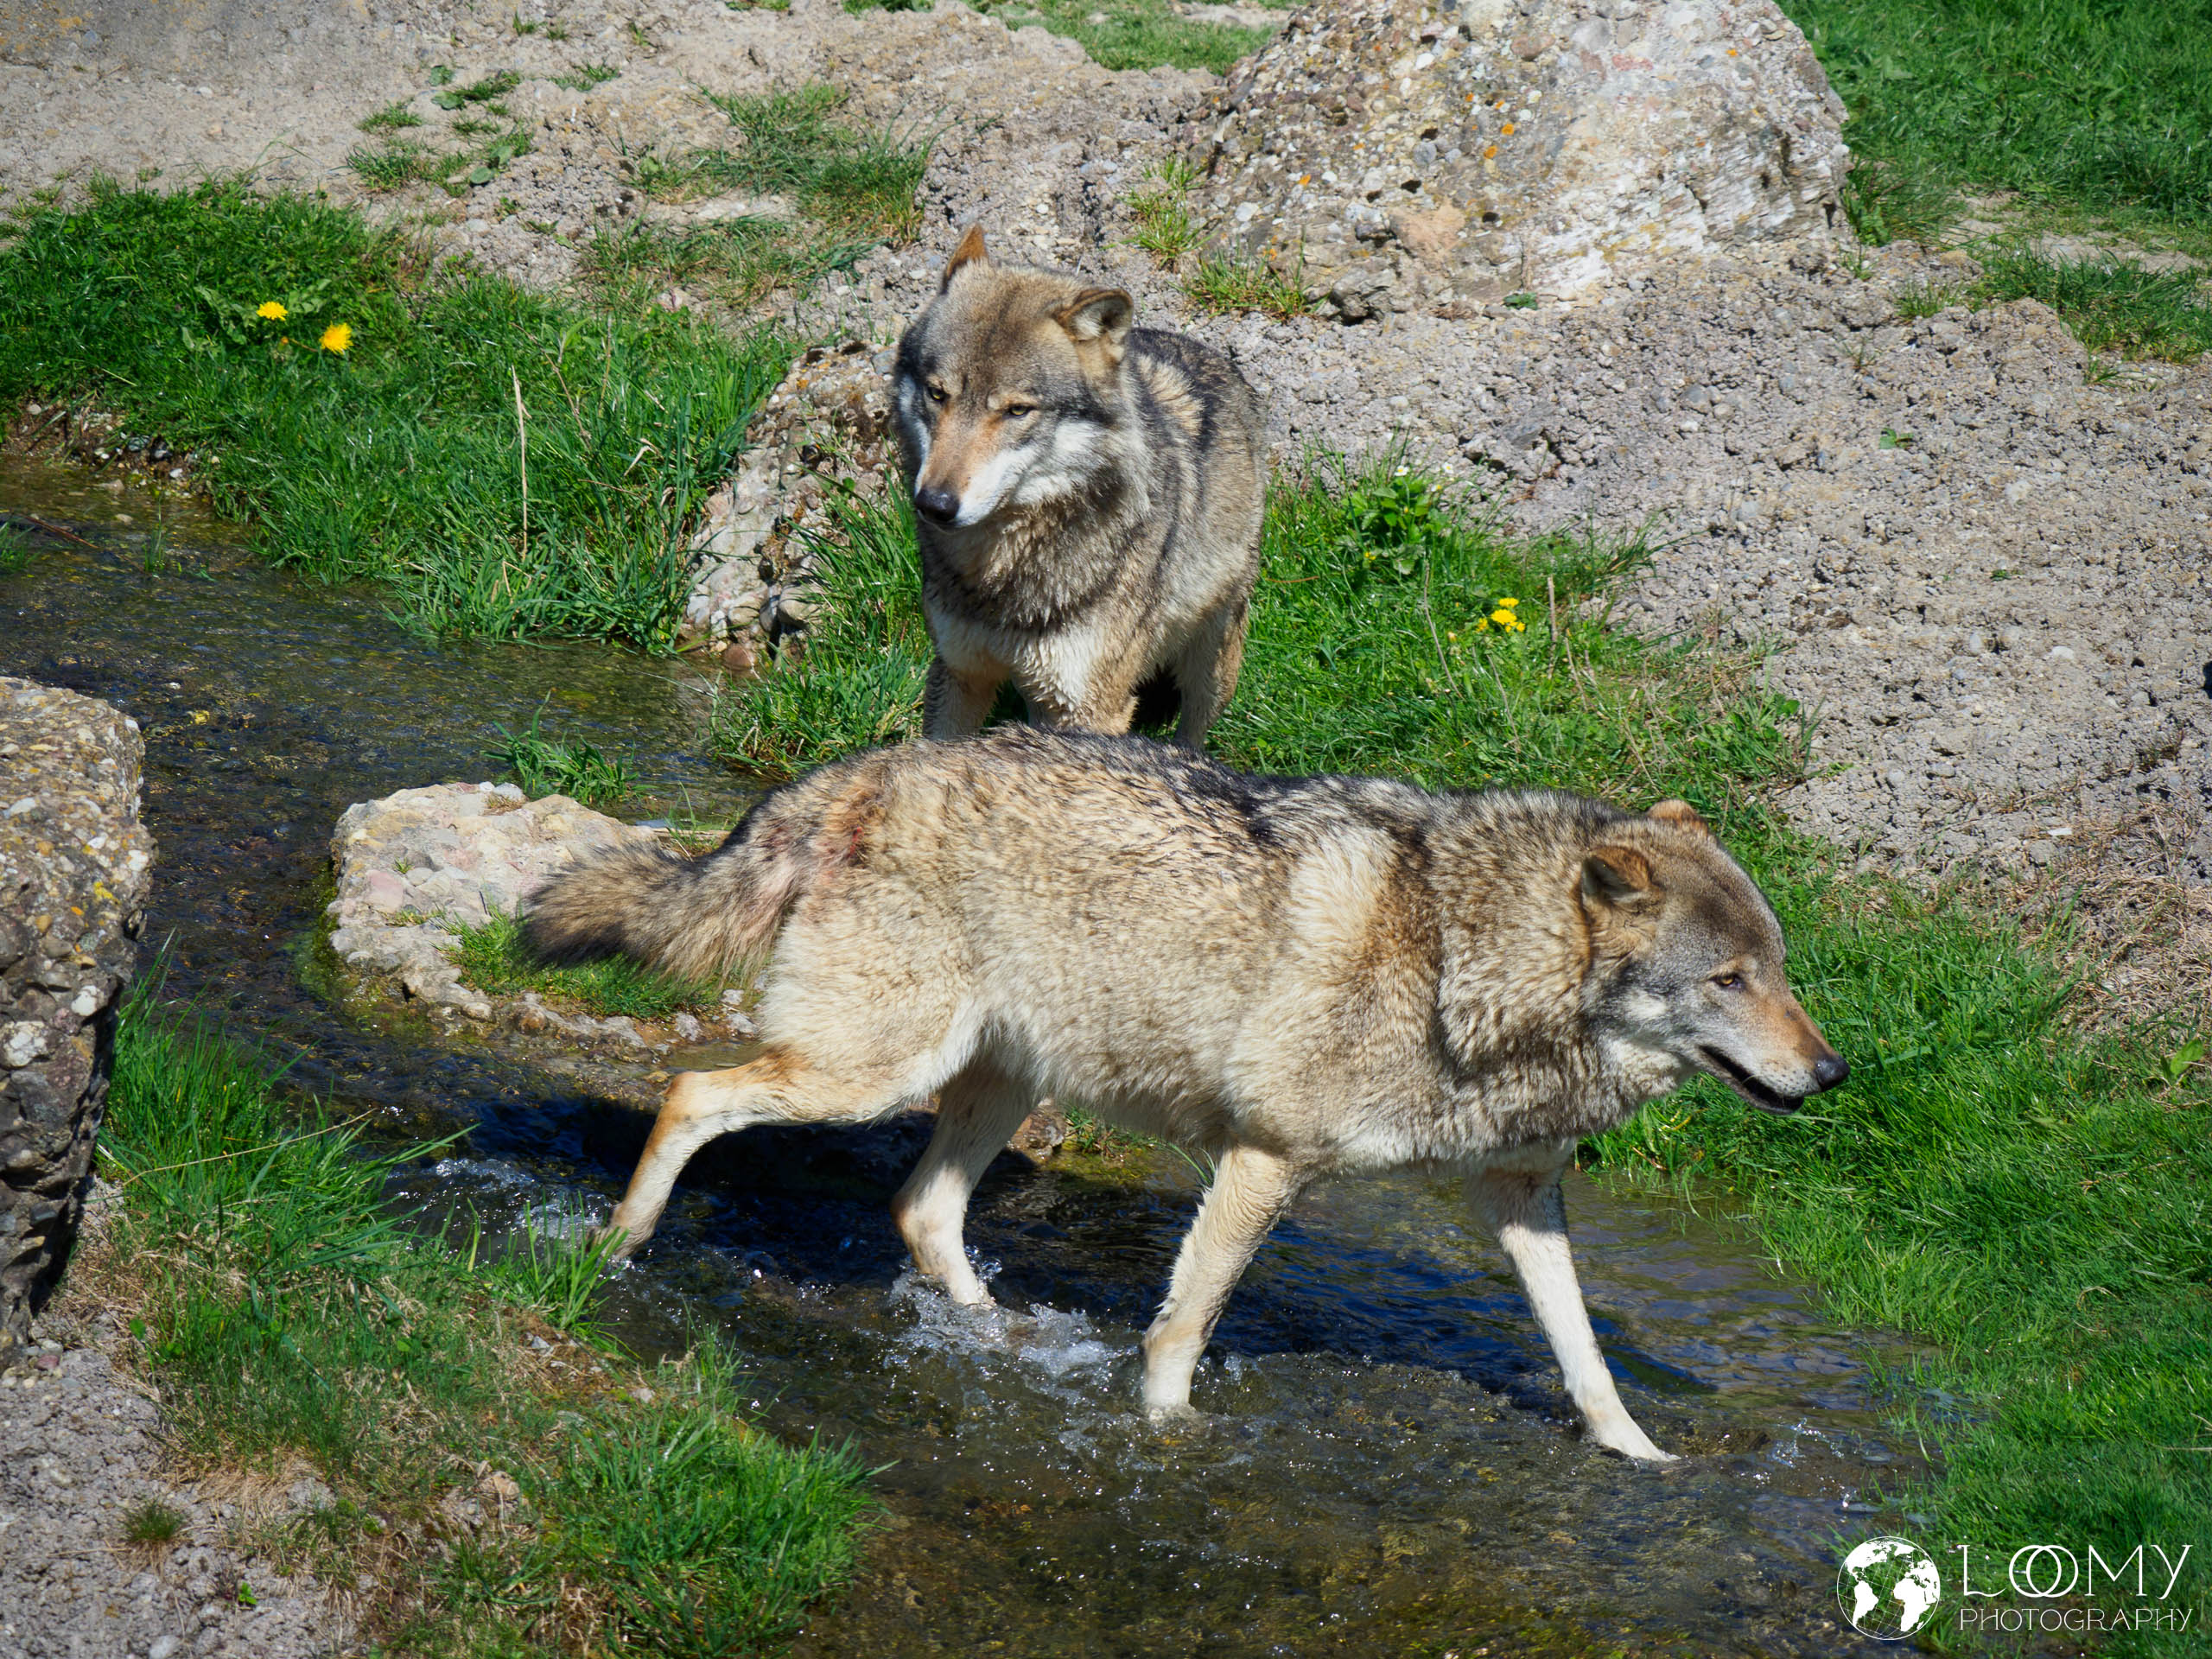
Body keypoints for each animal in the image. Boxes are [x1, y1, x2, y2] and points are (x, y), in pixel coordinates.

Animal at [525, 729, 1847, 1463]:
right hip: (870, 1074)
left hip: (994, 1085)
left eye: (1779, 970)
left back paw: (1003, 1337)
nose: (1832, 1073)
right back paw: (619, 1245)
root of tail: (863, 770)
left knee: (921, 1212)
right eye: (1728, 980)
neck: (1466, 963)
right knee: (691, 1091)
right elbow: (1184, 1327)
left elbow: (1585, 1356)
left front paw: (1641, 1458)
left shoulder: (1523, 1201)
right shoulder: (1266, 1162)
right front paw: (1165, 1437)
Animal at [890, 226, 1266, 745]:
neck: (1001, 583)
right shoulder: (959, 672)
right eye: (937, 394)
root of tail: (1212, 355)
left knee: (1192, 730)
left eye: (1017, 410)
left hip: (1211, 665)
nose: (935, 505)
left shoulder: (1094, 708)